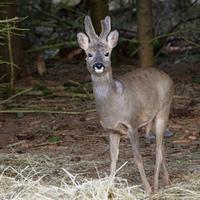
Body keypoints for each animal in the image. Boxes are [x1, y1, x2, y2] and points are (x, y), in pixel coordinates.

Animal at [77, 15, 174, 194]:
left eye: (107, 53)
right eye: (89, 54)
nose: (98, 65)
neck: (113, 106)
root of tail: (169, 77)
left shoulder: (132, 123)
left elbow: (138, 157)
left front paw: (147, 189)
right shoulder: (111, 130)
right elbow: (112, 157)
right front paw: (110, 186)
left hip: (164, 110)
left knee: (158, 149)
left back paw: (155, 185)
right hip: (154, 119)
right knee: (162, 144)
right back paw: (165, 180)